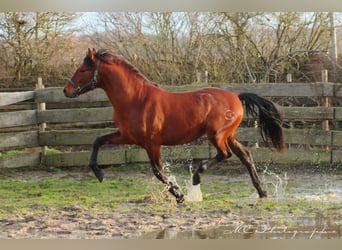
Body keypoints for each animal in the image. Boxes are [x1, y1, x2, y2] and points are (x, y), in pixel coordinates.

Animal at [62, 48, 286, 203]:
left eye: (83, 69)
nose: (66, 90)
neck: (135, 99)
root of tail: (236, 97)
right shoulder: (126, 136)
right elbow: (98, 141)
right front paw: (99, 173)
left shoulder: (151, 144)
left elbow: (158, 172)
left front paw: (180, 195)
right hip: (229, 136)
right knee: (246, 156)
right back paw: (262, 192)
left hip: (217, 135)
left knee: (225, 154)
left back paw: (197, 175)